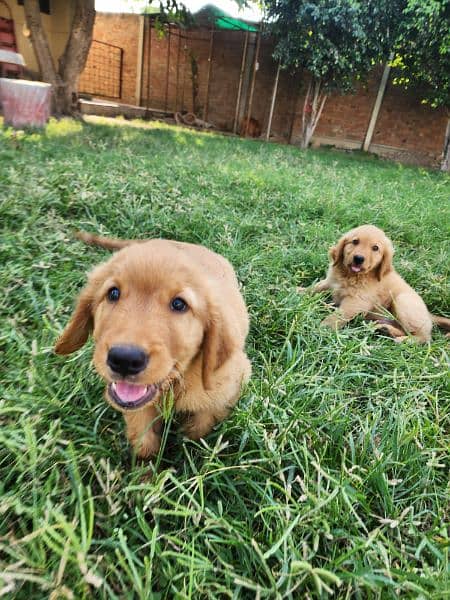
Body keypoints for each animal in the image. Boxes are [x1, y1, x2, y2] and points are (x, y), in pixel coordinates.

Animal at [54, 232, 251, 458]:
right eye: (113, 293)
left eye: (179, 304)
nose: (124, 359)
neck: (173, 385)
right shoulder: (137, 410)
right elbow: (143, 440)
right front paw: (145, 466)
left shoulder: (230, 388)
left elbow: (200, 427)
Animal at [298, 224, 450, 342]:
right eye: (355, 241)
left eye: (375, 248)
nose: (358, 258)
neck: (350, 275)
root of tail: (429, 315)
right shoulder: (330, 283)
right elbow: (315, 288)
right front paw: (297, 291)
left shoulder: (356, 301)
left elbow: (337, 316)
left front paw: (322, 328)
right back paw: (386, 330)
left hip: (403, 301)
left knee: (424, 338)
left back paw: (403, 340)